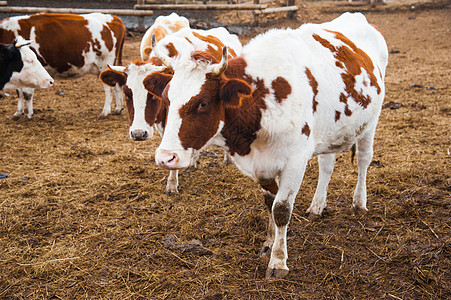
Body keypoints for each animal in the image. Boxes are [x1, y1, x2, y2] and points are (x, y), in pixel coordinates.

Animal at [145, 12, 388, 278]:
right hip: (330, 130)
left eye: (203, 103)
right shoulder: (261, 164)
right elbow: (270, 204)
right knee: (326, 165)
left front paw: (278, 262)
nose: (165, 157)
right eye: (166, 98)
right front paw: (269, 244)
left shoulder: (295, 161)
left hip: (371, 122)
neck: (262, 101)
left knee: (364, 160)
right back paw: (317, 206)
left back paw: (359, 203)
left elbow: (281, 210)